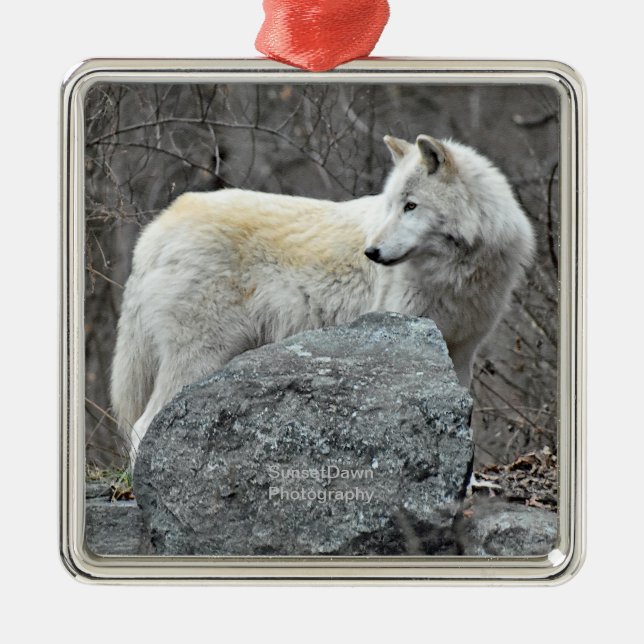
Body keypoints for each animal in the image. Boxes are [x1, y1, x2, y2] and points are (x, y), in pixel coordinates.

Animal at [111, 134, 535, 460]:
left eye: (411, 206)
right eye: (392, 206)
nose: (372, 252)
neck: (455, 273)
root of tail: (157, 229)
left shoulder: (461, 351)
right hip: (199, 358)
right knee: (141, 426)